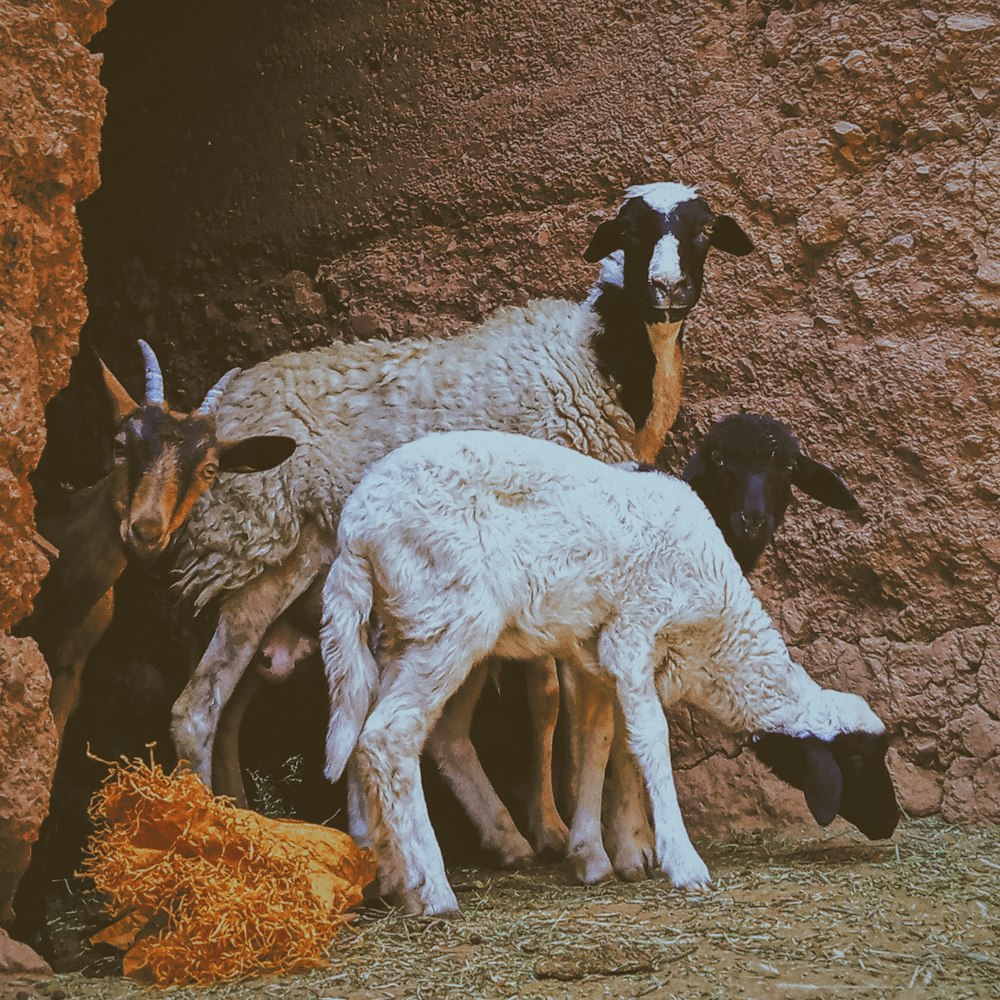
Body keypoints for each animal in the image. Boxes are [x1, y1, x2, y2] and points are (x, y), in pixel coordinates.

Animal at [170, 184, 752, 864]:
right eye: (632, 231)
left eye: (703, 230)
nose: (667, 288)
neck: (600, 357)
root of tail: (219, 405)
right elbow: (552, 702)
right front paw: (568, 833)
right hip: (258, 545)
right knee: (198, 707)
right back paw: (209, 829)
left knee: (231, 703)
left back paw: (244, 817)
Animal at [320, 430, 900, 916]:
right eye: (858, 761)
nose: (892, 821)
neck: (717, 639)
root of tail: (356, 528)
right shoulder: (632, 635)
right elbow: (650, 739)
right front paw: (680, 862)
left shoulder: (598, 659)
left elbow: (601, 739)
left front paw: (603, 852)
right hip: (450, 618)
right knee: (389, 734)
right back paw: (433, 890)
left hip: (400, 629)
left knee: (359, 723)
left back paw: (384, 871)